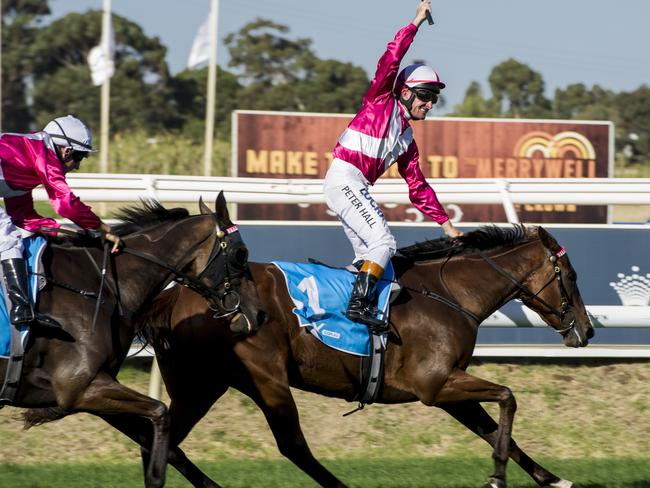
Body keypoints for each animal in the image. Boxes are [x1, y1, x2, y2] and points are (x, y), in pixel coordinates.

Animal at [1, 193, 264, 486]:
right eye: (241, 254)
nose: (258, 314)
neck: (101, 287)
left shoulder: (95, 389)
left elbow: (164, 445)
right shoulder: (80, 387)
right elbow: (160, 413)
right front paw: (155, 477)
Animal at [144, 226, 588, 488]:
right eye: (571, 276)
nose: (587, 330)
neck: (449, 295)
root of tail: (174, 295)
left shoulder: (448, 387)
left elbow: (494, 431)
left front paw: (552, 478)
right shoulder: (435, 383)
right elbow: (508, 398)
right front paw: (498, 476)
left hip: (200, 387)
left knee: (160, 441)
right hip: (265, 378)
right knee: (292, 445)